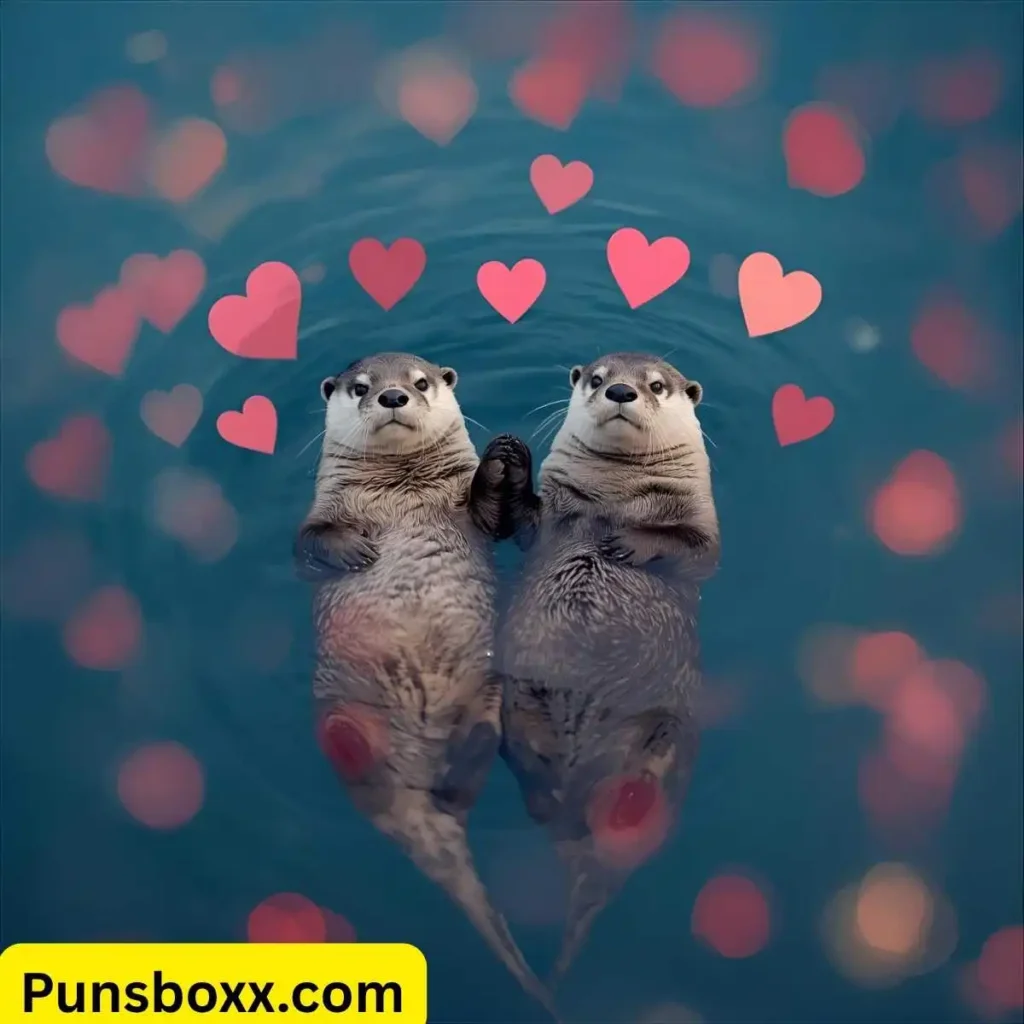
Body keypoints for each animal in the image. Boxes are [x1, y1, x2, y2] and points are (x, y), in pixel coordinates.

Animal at [293, 352, 554, 1015]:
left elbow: (494, 518)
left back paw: (454, 774)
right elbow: (306, 546)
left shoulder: (473, 516)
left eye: (419, 381)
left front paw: (504, 460)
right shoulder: (316, 519)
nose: (391, 397)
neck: (401, 497)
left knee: (475, 754)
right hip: (340, 709)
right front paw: (354, 548)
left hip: (485, 694)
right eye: (361, 387)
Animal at [484, 352, 721, 981]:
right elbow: (522, 523)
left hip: (665, 731)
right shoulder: (544, 522)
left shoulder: (703, 534)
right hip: (522, 705)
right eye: (596, 377)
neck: (613, 501)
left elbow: (690, 549)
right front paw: (508, 460)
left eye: (656, 385)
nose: (619, 391)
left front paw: (627, 543)